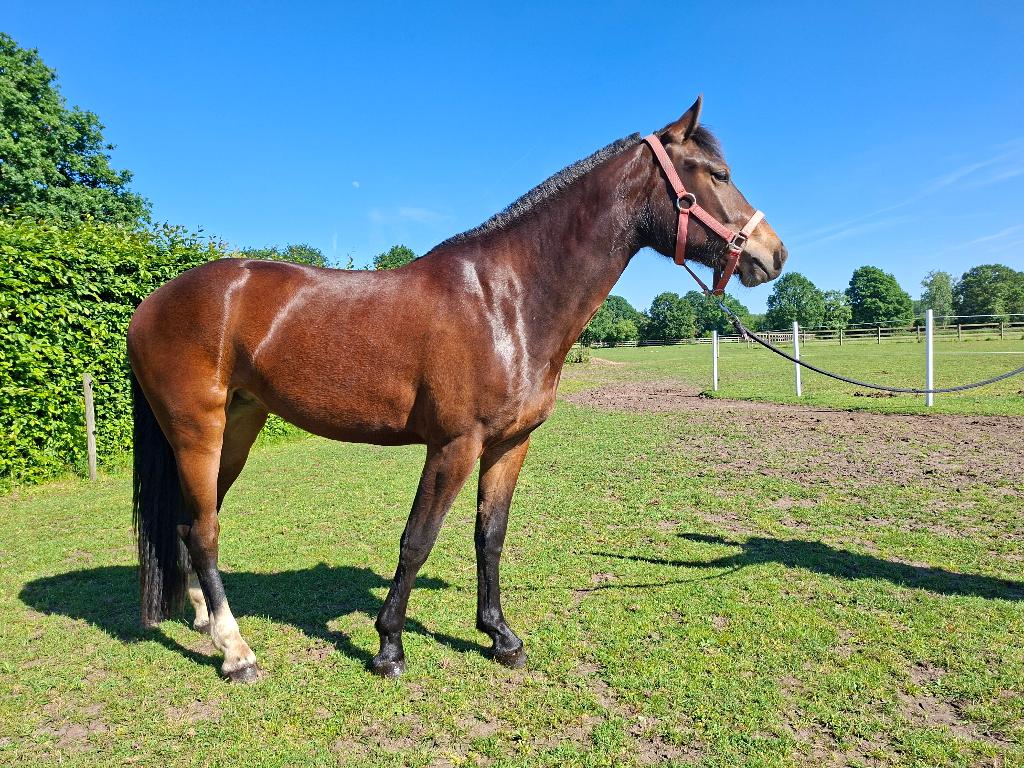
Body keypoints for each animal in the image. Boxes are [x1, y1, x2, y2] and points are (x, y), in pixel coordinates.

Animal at [127, 96, 787, 682]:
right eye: (719, 175)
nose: (773, 254)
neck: (507, 300)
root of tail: (150, 304)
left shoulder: (509, 444)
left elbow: (489, 537)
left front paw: (500, 637)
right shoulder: (454, 444)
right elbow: (417, 540)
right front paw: (389, 647)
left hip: (237, 429)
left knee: (190, 524)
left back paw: (205, 622)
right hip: (198, 432)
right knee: (205, 532)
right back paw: (237, 653)